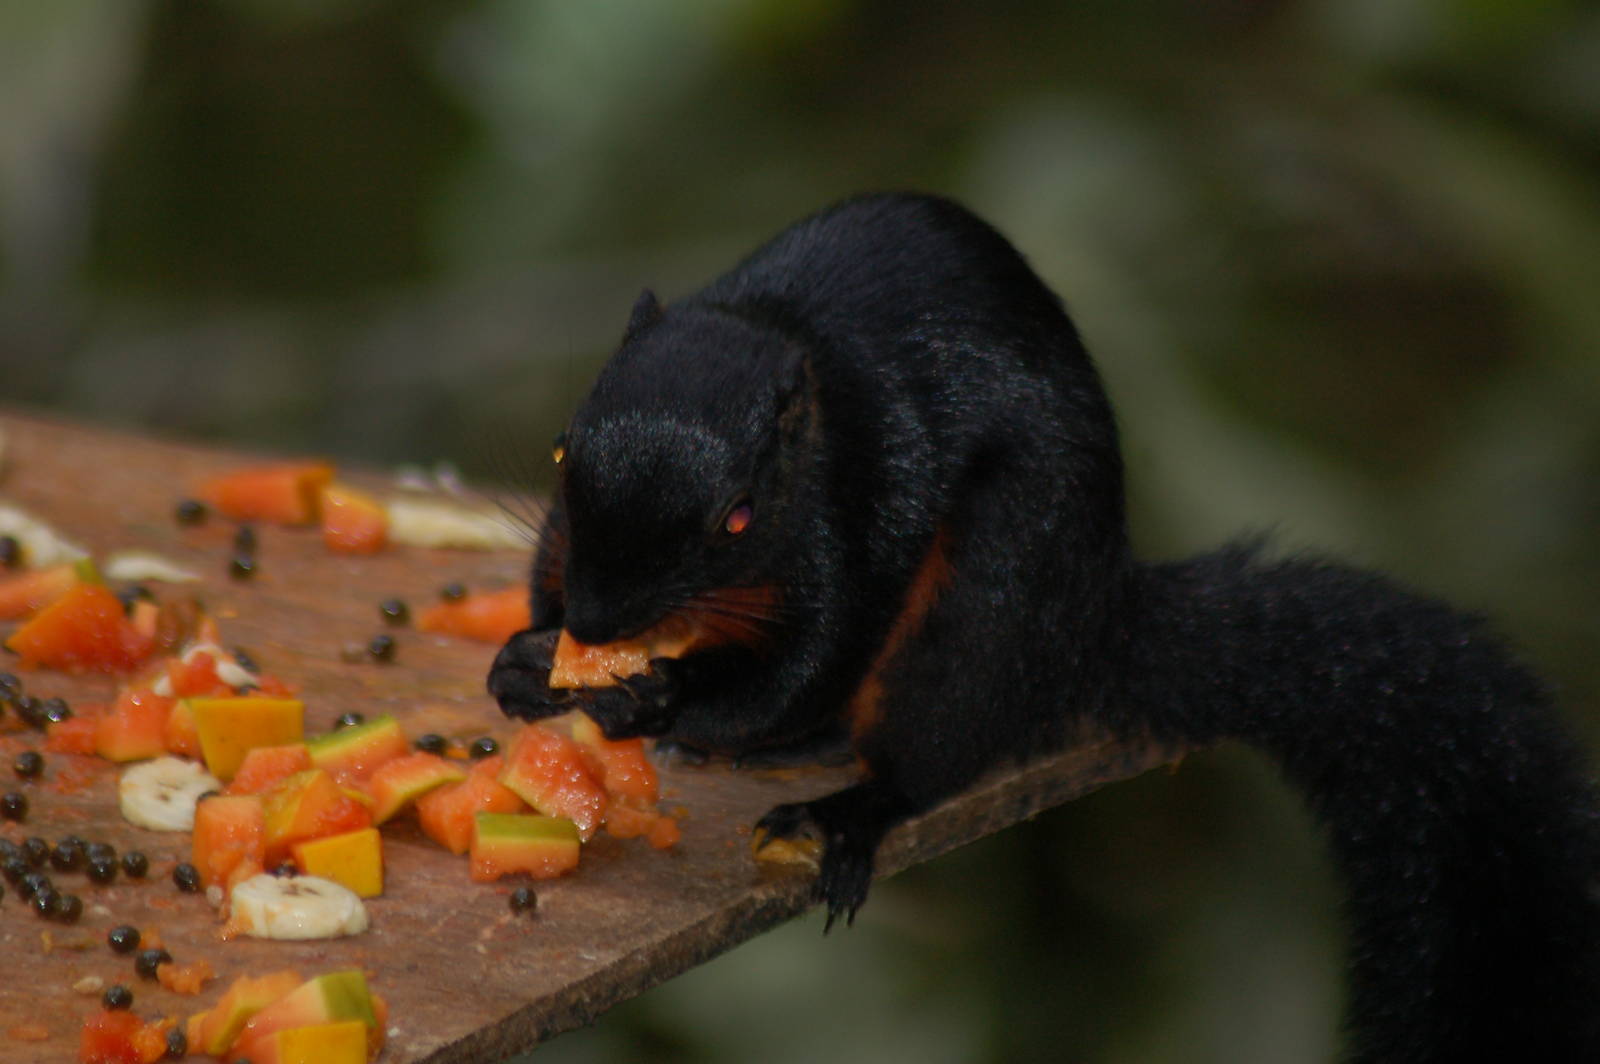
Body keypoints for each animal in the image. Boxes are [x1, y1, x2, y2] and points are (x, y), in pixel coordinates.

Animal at [488, 192, 1600, 1062]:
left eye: (737, 517)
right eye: (559, 451)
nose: (599, 618)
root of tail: (1093, 626)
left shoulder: (861, 516)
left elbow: (803, 665)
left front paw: (652, 694)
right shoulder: (565, 543)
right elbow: (561, 593)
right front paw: (528, 663)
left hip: (994, 591)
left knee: (923, 743)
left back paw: (846, 811)